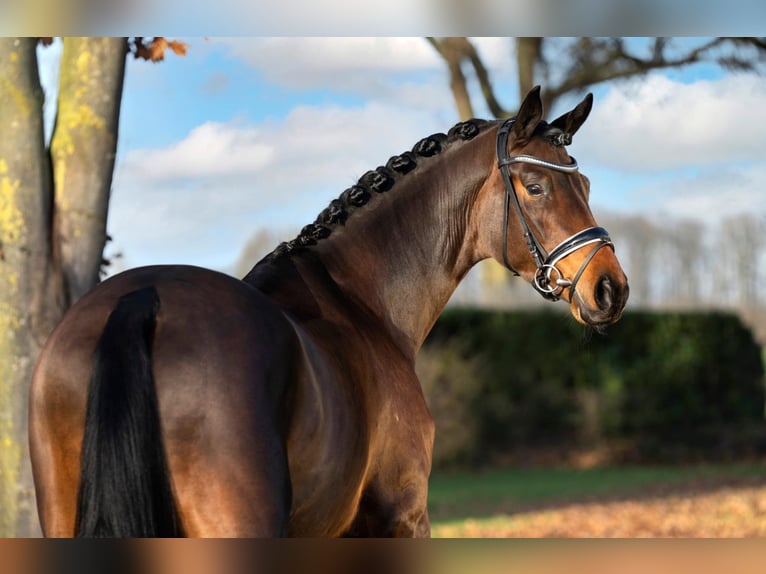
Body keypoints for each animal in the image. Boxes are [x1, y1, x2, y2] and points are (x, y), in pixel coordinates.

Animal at [28, 86, 632, 540]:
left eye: (584, 183)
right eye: (535, 186)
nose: (611, 288)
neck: (362, 303)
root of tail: (143, 302)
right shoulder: (401, 516)